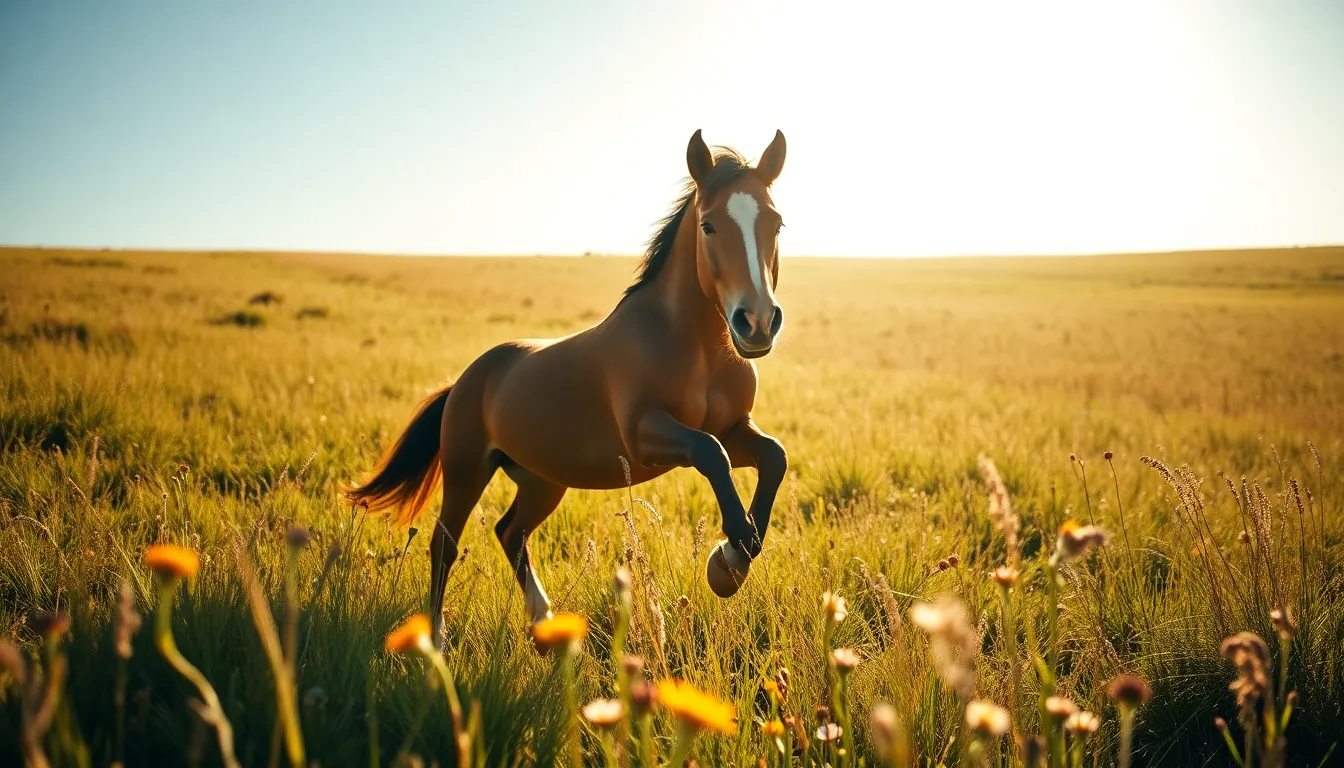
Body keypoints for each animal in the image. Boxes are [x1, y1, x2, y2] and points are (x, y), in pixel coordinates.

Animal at [345, 130, 789, 645]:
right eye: (709, 226)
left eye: (776, 223)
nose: (757, 323)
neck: (694, 347)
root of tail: (464, 382)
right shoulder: (645, 436)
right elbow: (711, 454)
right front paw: (729, 560)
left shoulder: (734, 427)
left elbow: (773, 456)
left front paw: (734, 554)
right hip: (467, 470)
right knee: (444, 543)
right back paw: (436, 639)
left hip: (542, 479)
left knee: (510, 532)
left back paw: (544, 622)